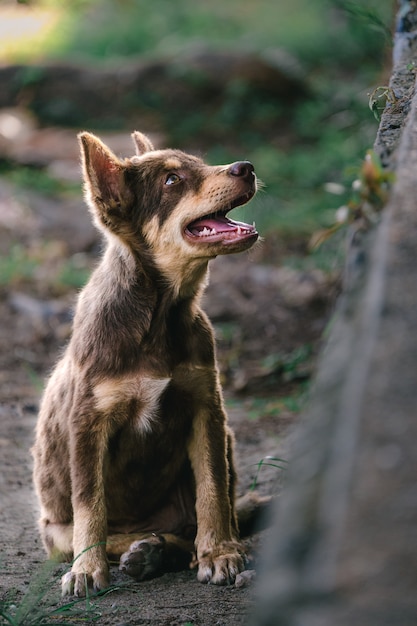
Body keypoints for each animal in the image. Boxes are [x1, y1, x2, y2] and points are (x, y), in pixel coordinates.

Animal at [32, 129, 258, 592]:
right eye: (172, 181)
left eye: (200, 164)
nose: (246, 167)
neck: (160, 314)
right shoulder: (88, 423)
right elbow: (91, 506)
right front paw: (86, 571)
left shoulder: (206, 410)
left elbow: (212, 491)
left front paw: (220, 554)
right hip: (55, 532)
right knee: (112, 533)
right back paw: (144, 551)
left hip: (225, 440)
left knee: (204, 518)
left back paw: (173, 549)